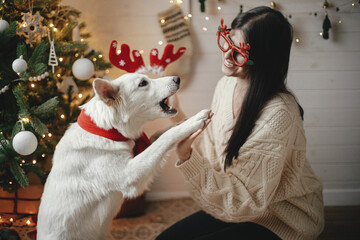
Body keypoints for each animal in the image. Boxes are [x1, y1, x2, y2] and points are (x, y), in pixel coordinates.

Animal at [35, 73, 211, 240]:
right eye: (143, 83)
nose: (177, 79)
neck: (106, 130)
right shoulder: (130, 175)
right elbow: (166, 137)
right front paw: (193, 122)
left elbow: (162, 133)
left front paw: (186, 120)